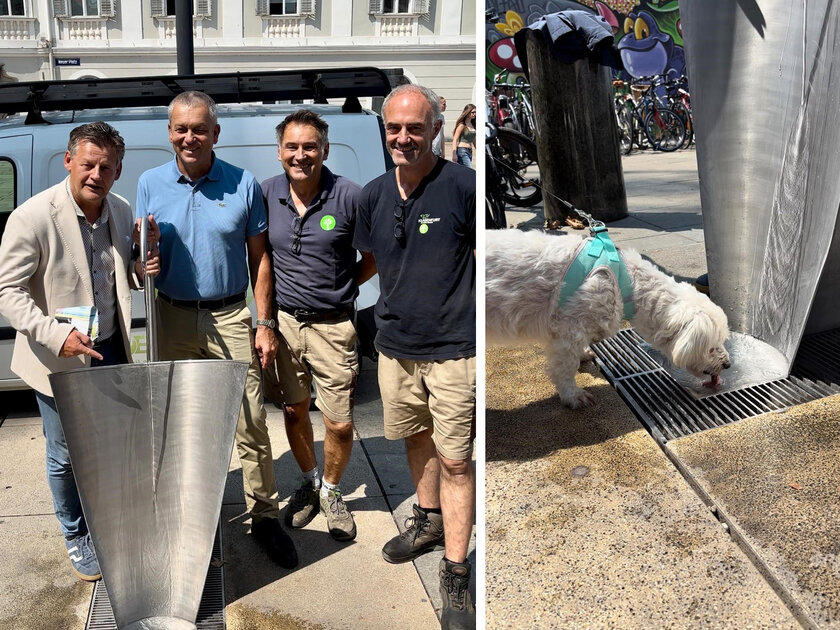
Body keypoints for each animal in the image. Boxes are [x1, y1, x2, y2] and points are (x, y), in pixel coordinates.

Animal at [486, 230, 728, 412]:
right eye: (711, 347)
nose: (728, 364)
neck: (628, 282)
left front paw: (584, 353)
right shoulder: (568, 329)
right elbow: (565, 367)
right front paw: (573, 395)